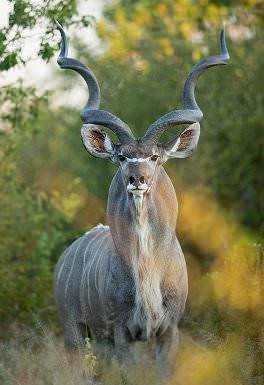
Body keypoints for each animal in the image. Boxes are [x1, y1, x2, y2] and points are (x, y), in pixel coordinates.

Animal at [53, 21, 229, 372]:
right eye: (122, 157)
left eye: (155, 157)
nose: (138, 179)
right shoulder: (122, 332)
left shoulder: (169, 331)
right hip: (76, 334)